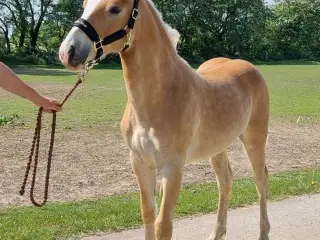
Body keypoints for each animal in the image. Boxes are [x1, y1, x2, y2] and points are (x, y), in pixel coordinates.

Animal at [59, 0, 270, 240]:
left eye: (115, 8)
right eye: (84, 4)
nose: (68, 51)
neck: (161, 95)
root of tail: (249, 67)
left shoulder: (173, 166)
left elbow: (163, 225)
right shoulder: (140, 162)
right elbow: (148, 213)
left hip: (254, 140)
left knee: (261, 181)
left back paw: (263, 232)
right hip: (218, 147)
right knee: (225, 181)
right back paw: (216, 233)